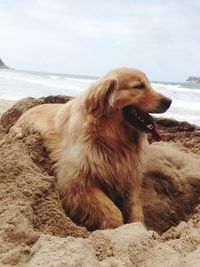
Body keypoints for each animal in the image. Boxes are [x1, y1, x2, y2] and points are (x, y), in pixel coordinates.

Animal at [7, 68, 171, 231]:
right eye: (138, 86)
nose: (169, 101)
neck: (111, 139)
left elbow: (135, 208)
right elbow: (113, 212)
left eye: (149, 84)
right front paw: (114, 229)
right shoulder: (76, 182)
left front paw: (138, 227)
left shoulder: (129, 175)